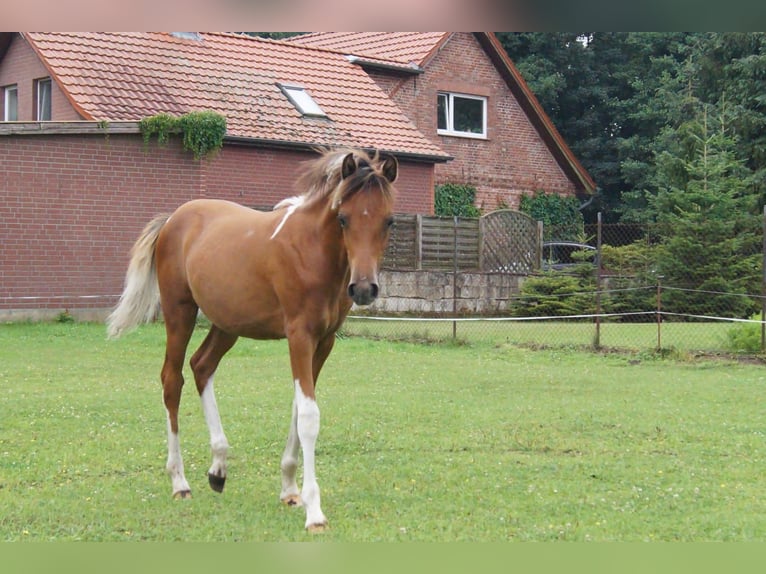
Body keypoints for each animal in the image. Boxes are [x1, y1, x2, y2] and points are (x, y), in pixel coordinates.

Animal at [108, 148, 402, 532]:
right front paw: (314, 511)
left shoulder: (324, 342)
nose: (364, 288)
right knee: (172, 380)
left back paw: (218, 469)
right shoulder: (299, 336)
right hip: (179, 313)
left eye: (389, 221)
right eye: (343, 218)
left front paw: (290, 490)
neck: (312, 252)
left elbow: (298, 408)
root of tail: (174, 218)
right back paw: (180, 481)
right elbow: (309, 416)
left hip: (227, 324)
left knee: (202, 366)